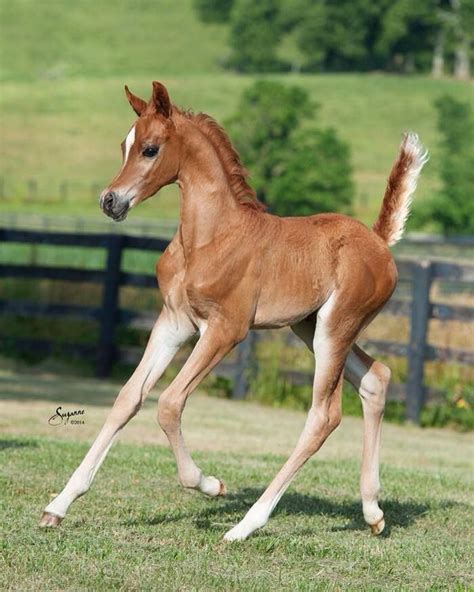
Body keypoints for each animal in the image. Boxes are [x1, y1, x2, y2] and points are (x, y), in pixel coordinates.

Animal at [39, 80, 430, 540]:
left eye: (150, 149)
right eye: (124, 145)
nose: (110, 201)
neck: (210, 236)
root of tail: (379, 241)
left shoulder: (226, 329)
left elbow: (169, 403)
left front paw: (210, 484)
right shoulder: (173, 323)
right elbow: (128, 398)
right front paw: (58, 505)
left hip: (335, 329)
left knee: (324, 416)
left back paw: (246, 525)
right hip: (309, 327)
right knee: (376, 379)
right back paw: (372, 512)